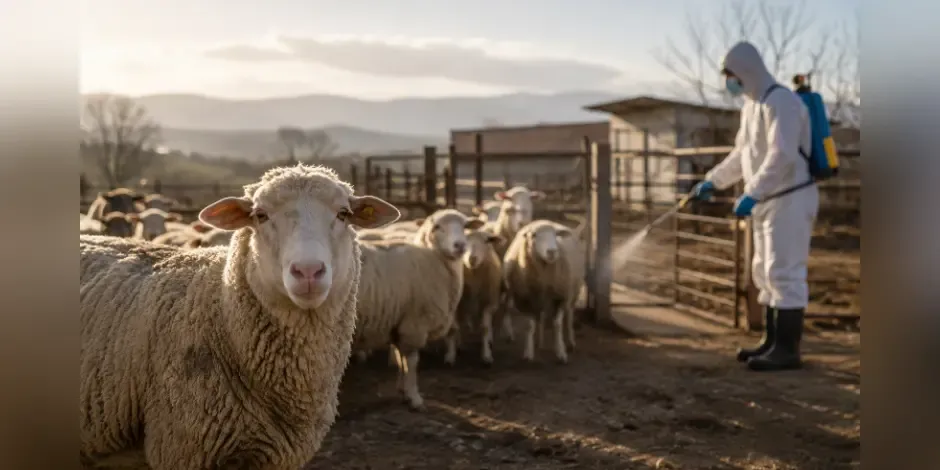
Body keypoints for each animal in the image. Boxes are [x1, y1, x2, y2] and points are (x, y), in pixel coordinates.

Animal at [352, 209, 485, 410]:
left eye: (465, 226)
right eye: (437, 227)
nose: (460, 245)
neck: (431, 258)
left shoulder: (399, 322)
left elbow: (400, 359)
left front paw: (402, 390)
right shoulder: (414, 323)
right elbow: (412, 362)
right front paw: (414, 398)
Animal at [502, 219, 585, 364]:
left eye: (556, 235)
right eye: (534, 235)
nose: (552, 251)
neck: (544, 278)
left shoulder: (560, 297)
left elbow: (557, 324)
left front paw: (561, 352)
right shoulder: (527, 299)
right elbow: (529, 326)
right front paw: (528, 353)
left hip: (573, 291)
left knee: (569, 314)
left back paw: (570, 342)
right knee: (540, 317)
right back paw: (539, 343)